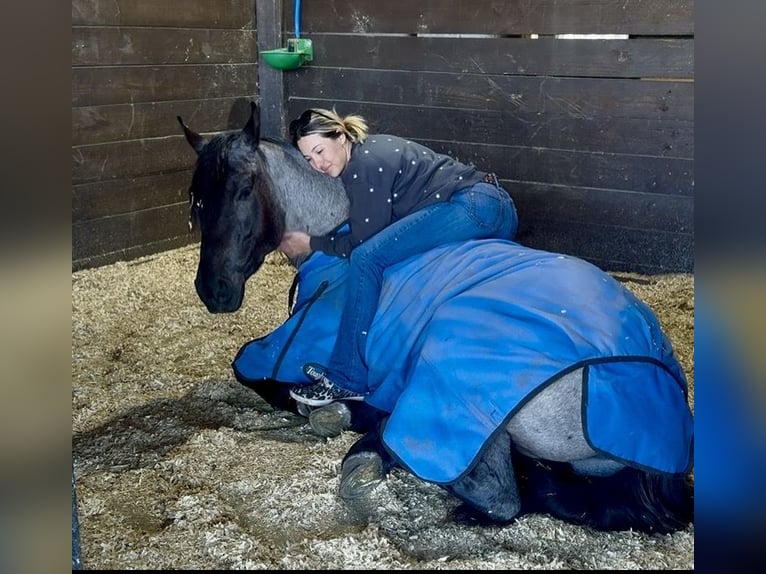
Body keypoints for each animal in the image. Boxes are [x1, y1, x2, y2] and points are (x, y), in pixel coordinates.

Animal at [178, 101, 694, 534]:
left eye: (245, 188)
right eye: (196, 196)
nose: (213, 290)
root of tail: (653, 371)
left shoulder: (288, 345)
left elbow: (251, 370)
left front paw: (329, 408)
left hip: (453, 378)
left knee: (496, 494)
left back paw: (366, 441)